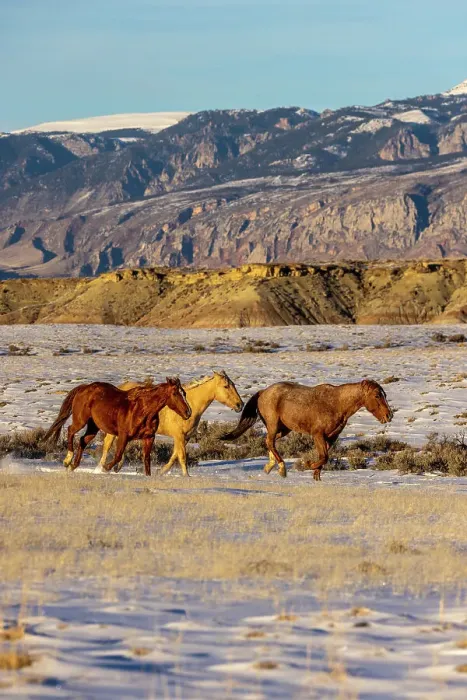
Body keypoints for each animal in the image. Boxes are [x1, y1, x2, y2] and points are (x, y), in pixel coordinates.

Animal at [44, 378, 191, 476]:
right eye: (175, 393)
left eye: (184, 393)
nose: (188, 412)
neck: (143, 409)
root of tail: (84, 388)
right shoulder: (123, 436)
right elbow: (118, 456)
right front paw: (105, 469)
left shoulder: (149, 437)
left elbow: (146, 459)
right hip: (81, 421)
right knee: (70, 430)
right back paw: (67, 460)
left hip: (93, 427)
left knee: (82, 440)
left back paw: (73, 466)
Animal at [96, 370, 243, 476]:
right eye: (226, 386)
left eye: (234, 385)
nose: (240, 405)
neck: (190, 404)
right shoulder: (179, 435)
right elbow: (182, 456)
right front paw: (186, 476)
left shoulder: (185, 437)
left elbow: (174, 456)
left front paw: (161, 472)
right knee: (107, 446)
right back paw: (101, 468)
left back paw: (116, 467)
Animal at [221, 379, 393, 480]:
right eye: (377, 395)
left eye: (384, 394)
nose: (389, 415)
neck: (336, 404)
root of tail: (263, 392)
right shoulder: (318, 435)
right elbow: (324, 457)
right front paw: (308, 464)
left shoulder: (331, 438)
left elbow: (324, 458)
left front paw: (316, 477)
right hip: (273, 425)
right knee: (269, 441)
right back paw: (282, 468)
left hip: (284, 429)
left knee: (270, 442)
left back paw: (269, 467)